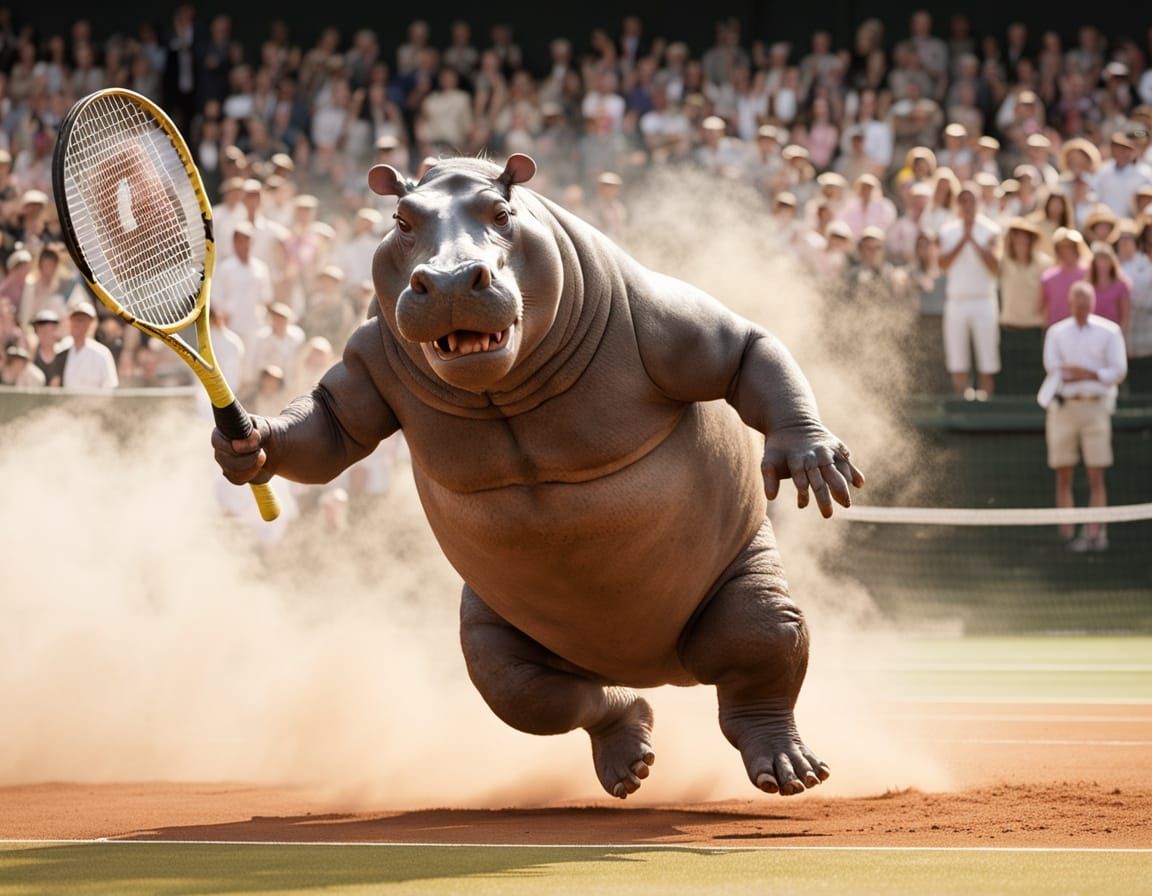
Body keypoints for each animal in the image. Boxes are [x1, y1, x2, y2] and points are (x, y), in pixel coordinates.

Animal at [213, 154, 865, 799]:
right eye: (401, 219)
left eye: (501, 212)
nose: (449, 281)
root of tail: (653, 665)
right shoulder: (367, 361)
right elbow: (329, 426)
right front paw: (246, 446)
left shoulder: (666, 326)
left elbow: (749, 352)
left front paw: (811, 458)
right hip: (499, 645)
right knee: (554, 697)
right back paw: (629, 759)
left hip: (750, 587)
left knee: (760, 656)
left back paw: (789, 769)